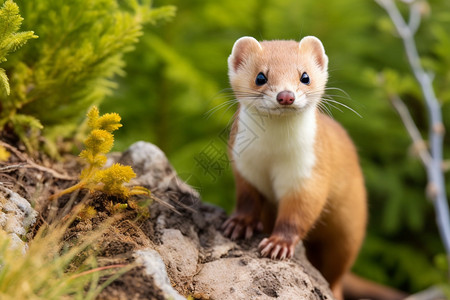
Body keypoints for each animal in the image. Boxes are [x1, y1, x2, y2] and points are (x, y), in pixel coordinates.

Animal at [223, 35, 368, 300]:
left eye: (305, 76)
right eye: (261, 77)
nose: (286, 96)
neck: (273, 154)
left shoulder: (309, 173)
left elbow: (298, 211)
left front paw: (278, 244)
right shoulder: (244, 165)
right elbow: (247, 199)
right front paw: (240, 224)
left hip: (349, 230)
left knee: (337, 272)